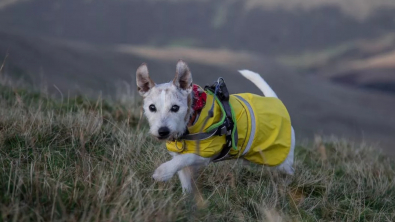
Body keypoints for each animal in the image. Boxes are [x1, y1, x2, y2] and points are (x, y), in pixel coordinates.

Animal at [138, 60, 296, 193]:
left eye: (175, 108)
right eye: (152, 107)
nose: (162, 131)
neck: (193, 116)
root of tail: (275, 101)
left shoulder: (205, 153)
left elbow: (184, 159)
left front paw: (162, 172)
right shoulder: (179, 155)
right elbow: (182, 171)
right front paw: (186, 198)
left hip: (280, 159)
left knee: (289, 171)